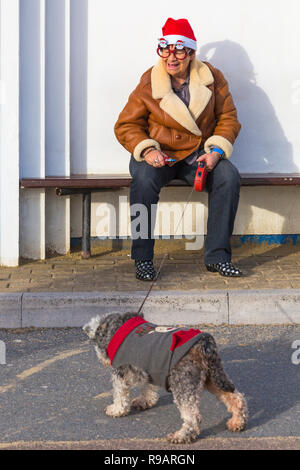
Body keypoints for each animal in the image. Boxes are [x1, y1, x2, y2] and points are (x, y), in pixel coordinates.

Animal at [83, 312, 247, 444]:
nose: (102, 360)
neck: (116, 328)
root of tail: (205, 343)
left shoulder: (121, 372)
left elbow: (120, 394)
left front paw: (116, 410)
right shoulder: (148, 367)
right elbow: (147, 387)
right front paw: (145, 401)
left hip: (182, 385)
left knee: (193, 417)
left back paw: (181, 436)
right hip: (214, 378)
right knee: (236, 397)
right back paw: (237, 422)